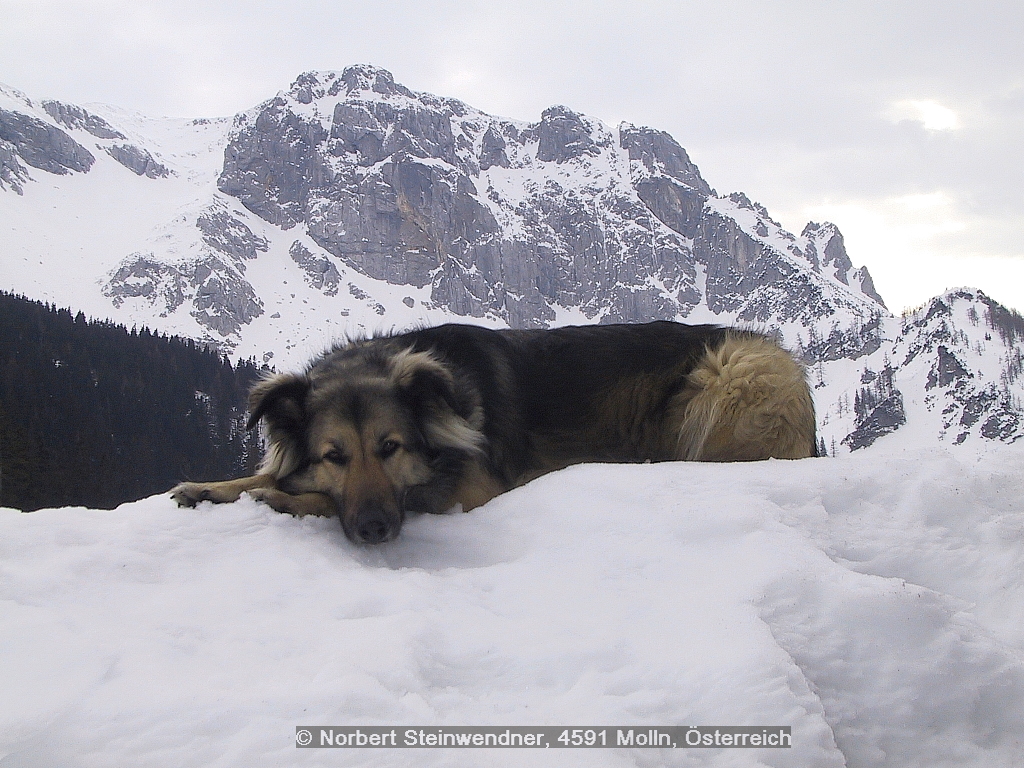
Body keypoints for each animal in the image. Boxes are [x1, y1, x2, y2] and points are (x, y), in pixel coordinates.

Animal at [172, 321, 819, 544]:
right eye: (333, 456)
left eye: (390, 448)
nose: (376, 531)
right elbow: (258, 474)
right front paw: (208, 487)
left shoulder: (470, 491)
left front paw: (281, 499)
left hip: (729, 372)